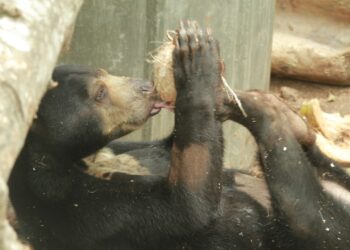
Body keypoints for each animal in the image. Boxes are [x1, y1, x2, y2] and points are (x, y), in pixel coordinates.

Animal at [8, 22, 266, 249]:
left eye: (104, 71)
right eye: (100, 93)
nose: (147, 87)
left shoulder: (121, 149)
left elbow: (168, 148)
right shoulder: (78, 209)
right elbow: (186, 204)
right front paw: (197, 58)